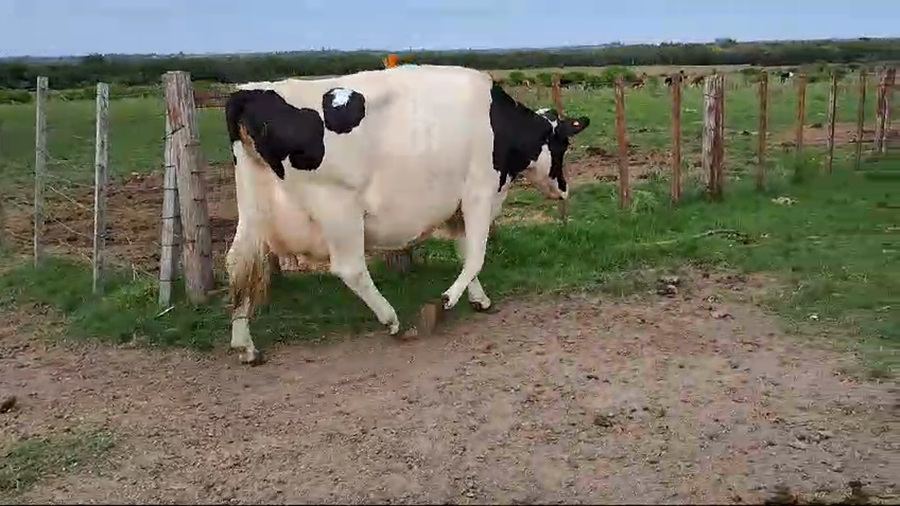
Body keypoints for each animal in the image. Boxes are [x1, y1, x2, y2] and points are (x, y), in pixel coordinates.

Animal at [224, 64, 591, 364]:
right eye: (562, 145)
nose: (564, 189)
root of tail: (248, 93)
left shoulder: (456, 208)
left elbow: (466, 253)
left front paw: (479, 299)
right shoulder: (479, 193)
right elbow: (476, 256)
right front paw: (446, 300)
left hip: (253, 209)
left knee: (240, 264)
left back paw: (245, 346)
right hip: (337, 208)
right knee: (350, 268)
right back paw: (392, 320)